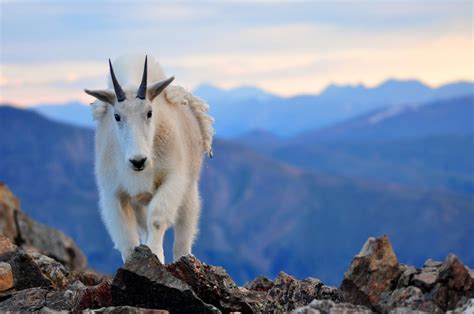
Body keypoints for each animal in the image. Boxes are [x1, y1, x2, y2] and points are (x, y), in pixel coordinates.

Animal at [84, 54, 214, 262]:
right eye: (117, 116)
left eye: (149, 112)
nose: (138, 161)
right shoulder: (114, 192)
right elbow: (127, 238)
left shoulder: (173, 179)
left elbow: (157, 218)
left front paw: (155, 254)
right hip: (139, 202)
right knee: (143, 227)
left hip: (189, 191)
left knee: (183, 234)